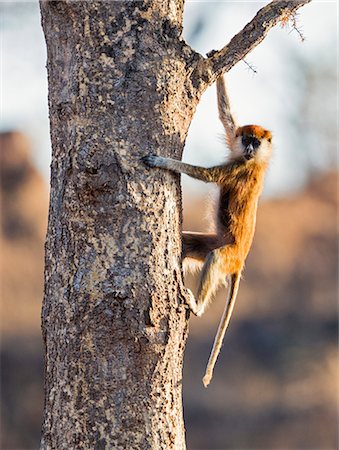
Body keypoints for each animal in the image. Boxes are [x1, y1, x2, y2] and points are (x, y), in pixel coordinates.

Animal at [143, 75, 274, 384]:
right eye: (247, 139)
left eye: (256, 142)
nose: (249, 148)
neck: (255, 160)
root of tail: (240, 261)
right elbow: (226, 115)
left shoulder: (240, 168)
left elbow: (207, 174)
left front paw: (161, 162)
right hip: (212, 242)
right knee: (189, 244)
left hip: (227, 254)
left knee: (214, 260)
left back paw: (197, 306)